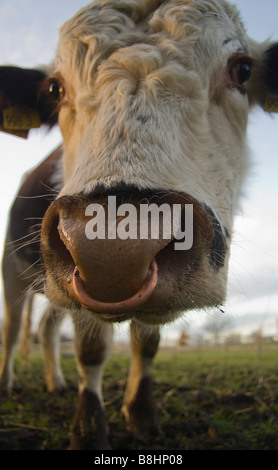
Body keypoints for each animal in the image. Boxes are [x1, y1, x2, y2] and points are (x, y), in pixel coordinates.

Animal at [0, 0, 278, 450]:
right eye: (55, 89)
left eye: (243, 69)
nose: (114, 251)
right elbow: (91, 351)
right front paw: (89, 430)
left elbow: (147, 345)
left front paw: (143, 416)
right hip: (13, 270)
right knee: (10, 329)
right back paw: (7, 383)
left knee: (45, 328)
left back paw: (55, 382)